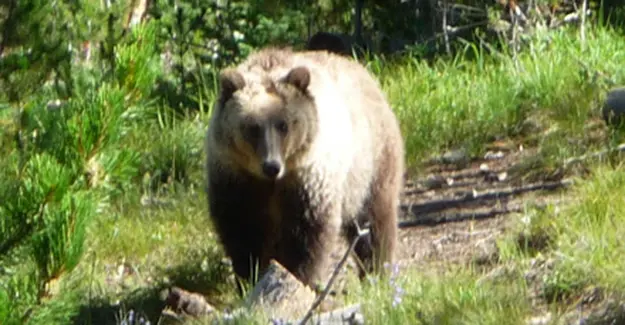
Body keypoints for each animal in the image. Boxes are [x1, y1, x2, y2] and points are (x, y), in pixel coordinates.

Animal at [202, 46, 402, 288]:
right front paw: (250, 276)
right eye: (252, 127)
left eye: (283, 125)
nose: (271, 166)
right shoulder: (235, 177)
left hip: (369, 165)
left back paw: (377, 271)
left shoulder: (308, 177)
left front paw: (298, 276)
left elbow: (307, 231)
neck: (272, 183)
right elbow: (241, 228)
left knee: (374, 221)